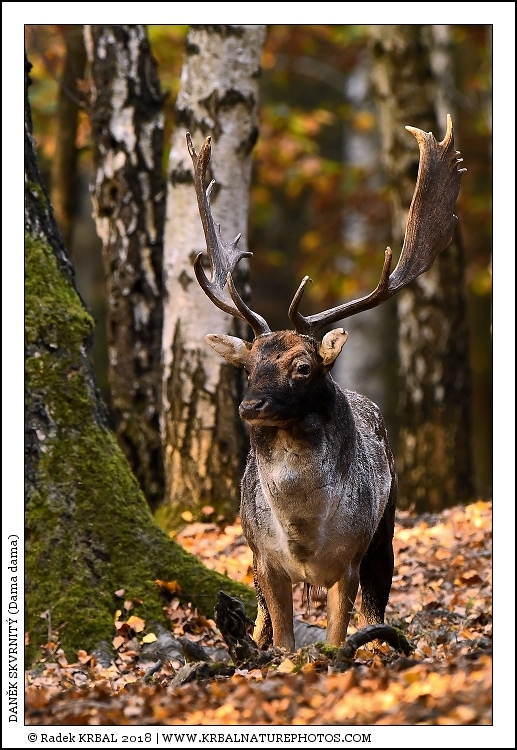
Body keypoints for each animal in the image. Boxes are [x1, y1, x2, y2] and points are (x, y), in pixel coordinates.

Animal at [186, 115, 465, 651]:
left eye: (303, 366)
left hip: (385, 533)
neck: (303, 533)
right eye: (248, 365)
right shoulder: (264, 560)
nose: (250, 406)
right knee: (260, 619)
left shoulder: (350, 560)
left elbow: (337, 637)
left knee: (376, 610)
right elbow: (282, 642)